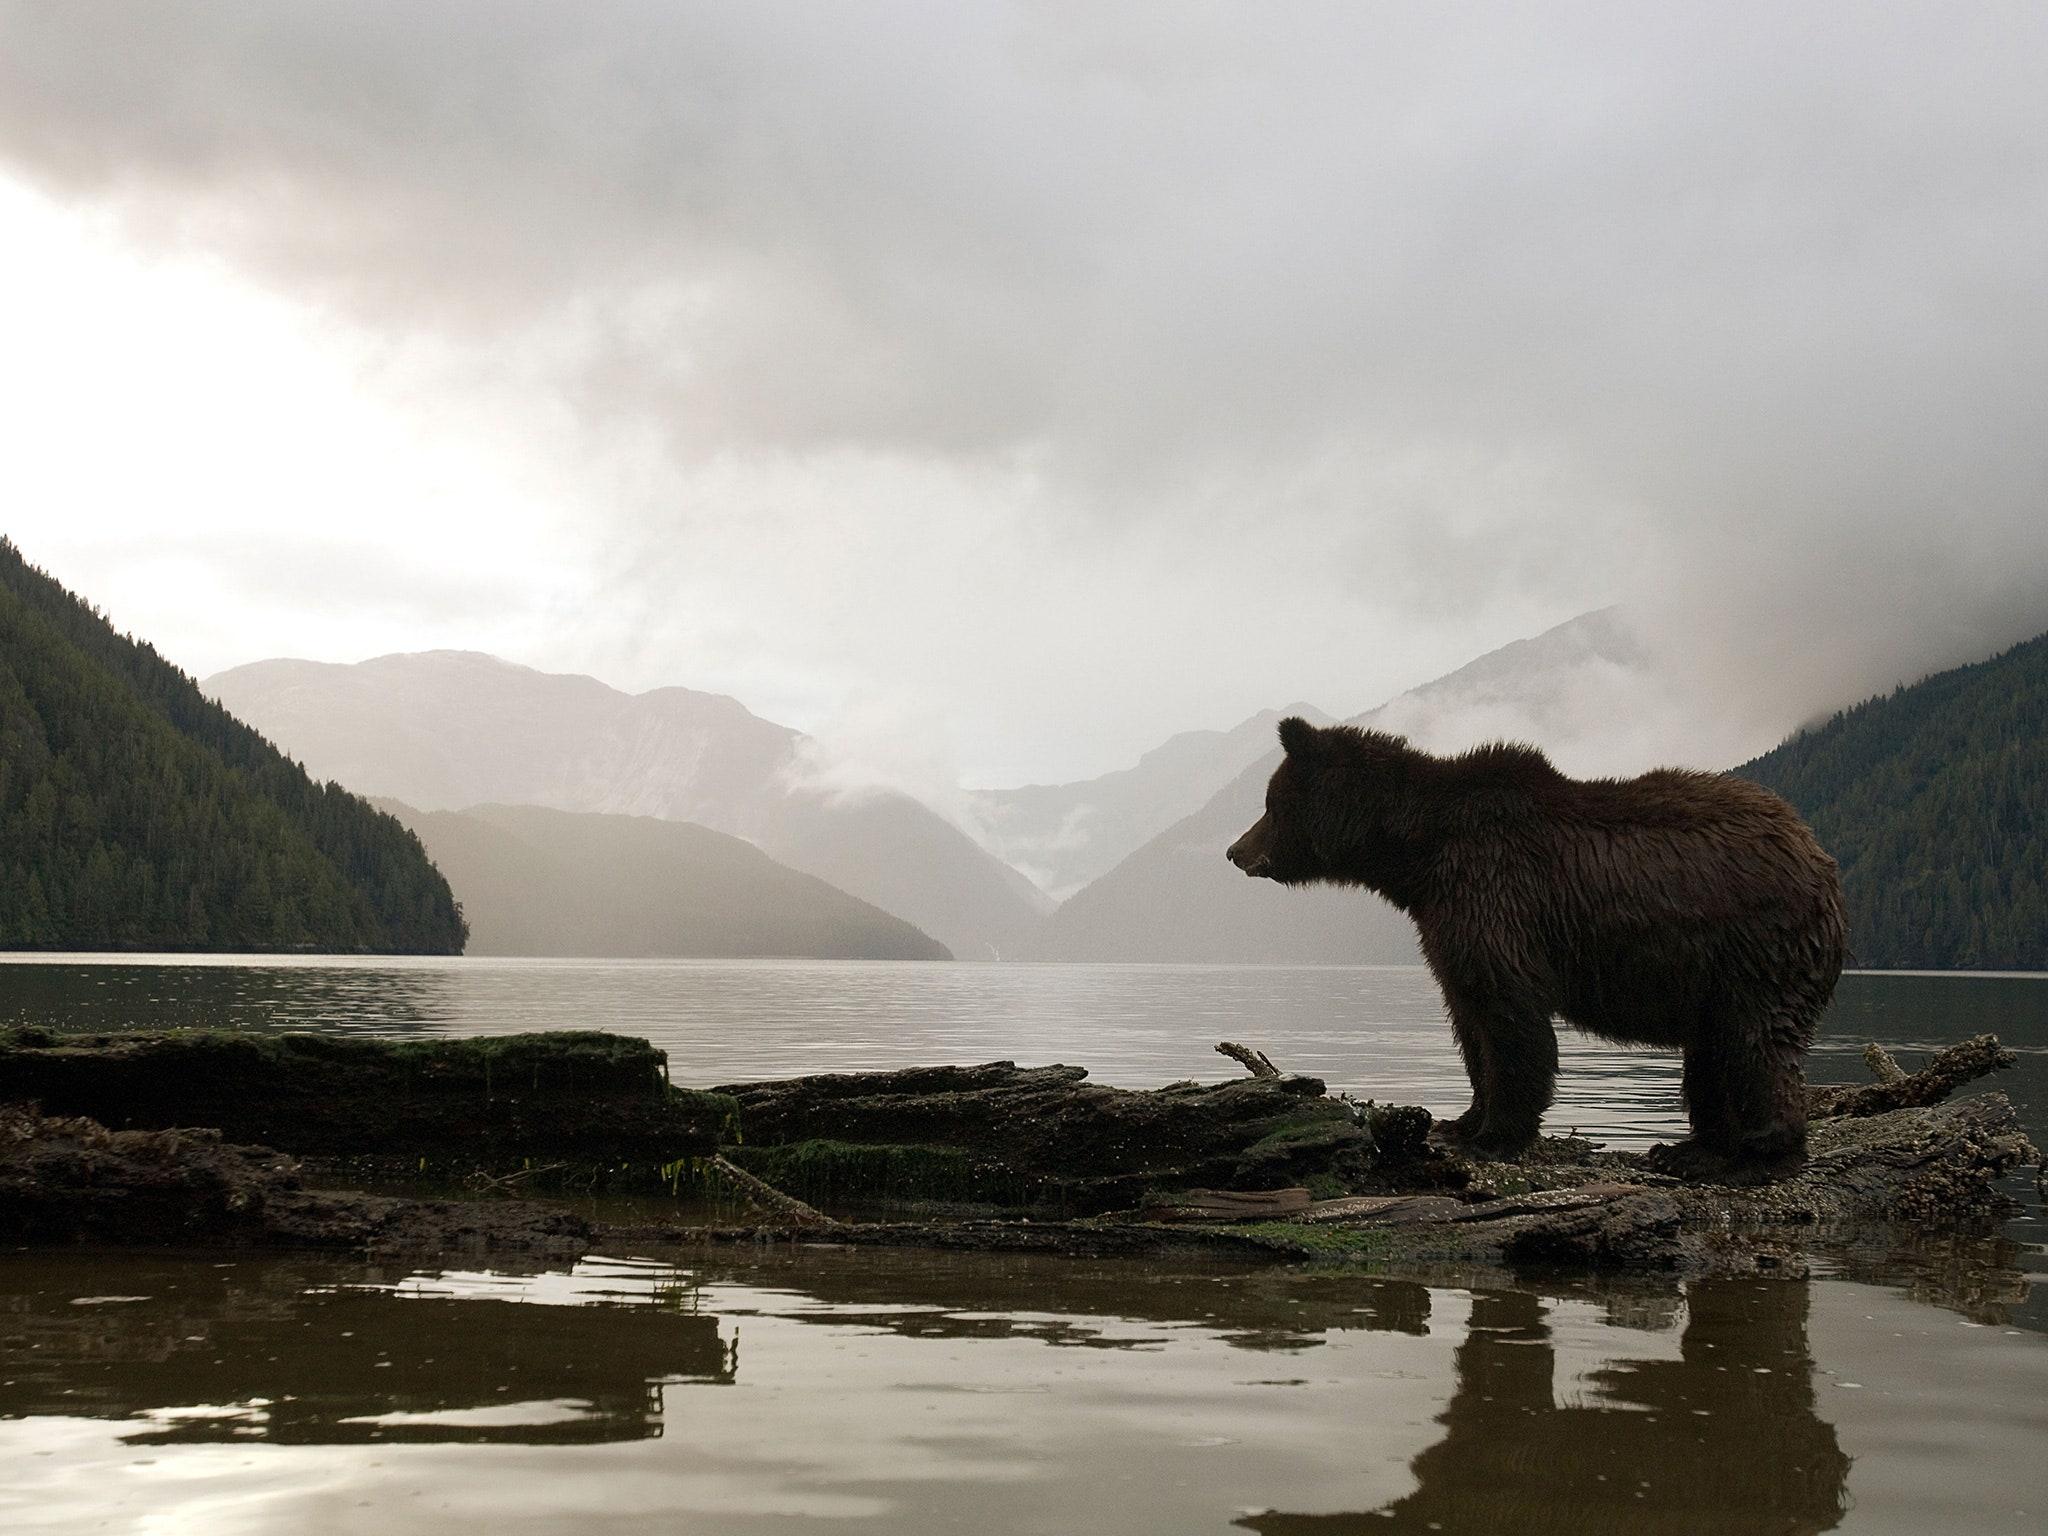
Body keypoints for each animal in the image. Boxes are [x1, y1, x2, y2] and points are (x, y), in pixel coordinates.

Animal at [1226, 716, 1846, 1182]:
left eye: (1270, 802)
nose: (1235, 851)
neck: (1418, 856)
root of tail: (1819, 857)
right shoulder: (1446, 918)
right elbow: (1469, 1018)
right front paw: (1462, 1121)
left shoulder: (1495, 895)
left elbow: (1510, 1017)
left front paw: (1494, 1135)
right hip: (1717, 973)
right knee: (1713, 1053)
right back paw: (1691, 1150)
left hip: (1757, 947)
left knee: (1757, 1042)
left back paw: (1757, 1155)